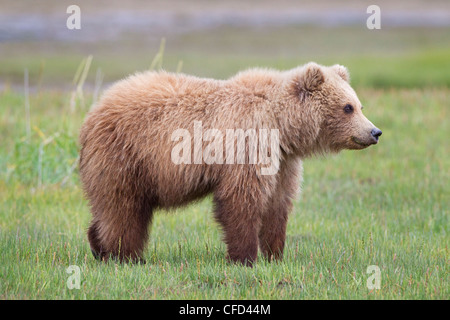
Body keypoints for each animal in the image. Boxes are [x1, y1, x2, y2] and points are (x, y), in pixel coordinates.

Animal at [79, 62, 382, 264]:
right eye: (347, 107)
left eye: (359, 105)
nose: (375, 132)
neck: (281, 125)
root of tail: (94, 110)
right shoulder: (248, 142)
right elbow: (241, 200)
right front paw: (245, 257)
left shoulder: (283, 160)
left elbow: (278, 203)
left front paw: (275, 254)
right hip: (126, 155)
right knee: (123, 209)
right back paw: (125, 256)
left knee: (115, 209)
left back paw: (98, 246)